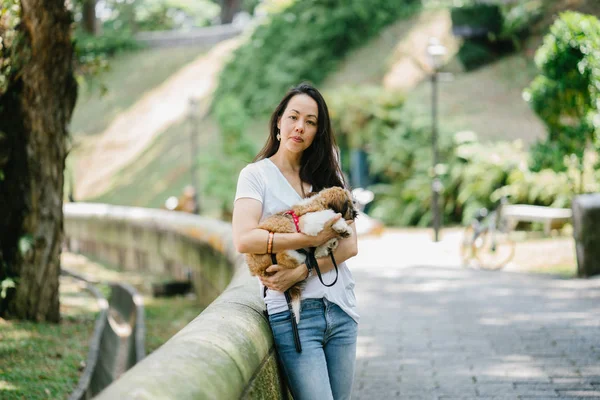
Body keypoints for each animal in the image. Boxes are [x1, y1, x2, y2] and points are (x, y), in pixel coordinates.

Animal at [246, 187, 358, 322]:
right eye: (350, 204)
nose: (356, 214)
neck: (319, 203)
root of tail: (257, 271)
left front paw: (340, 232)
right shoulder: (308, 222)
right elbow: (330, 214)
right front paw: (342, 226)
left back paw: (326, 247)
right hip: (280, 252)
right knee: (294, 258)